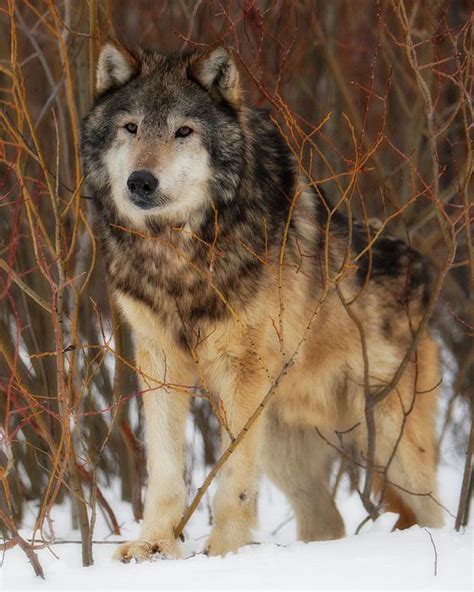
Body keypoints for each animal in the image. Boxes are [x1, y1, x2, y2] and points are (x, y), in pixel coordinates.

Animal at [80, 40, 444, 560]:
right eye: (130, 127)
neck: (178, 256)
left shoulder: (243, 373)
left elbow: (232, 479)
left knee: (433, 513)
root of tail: (423, 270)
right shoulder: (160, 363)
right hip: (285, 451)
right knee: (326, 522)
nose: (141, 181)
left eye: (183, 131)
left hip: (396, 444)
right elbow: (165, 471)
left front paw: (222, 556)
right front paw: (153, 546)